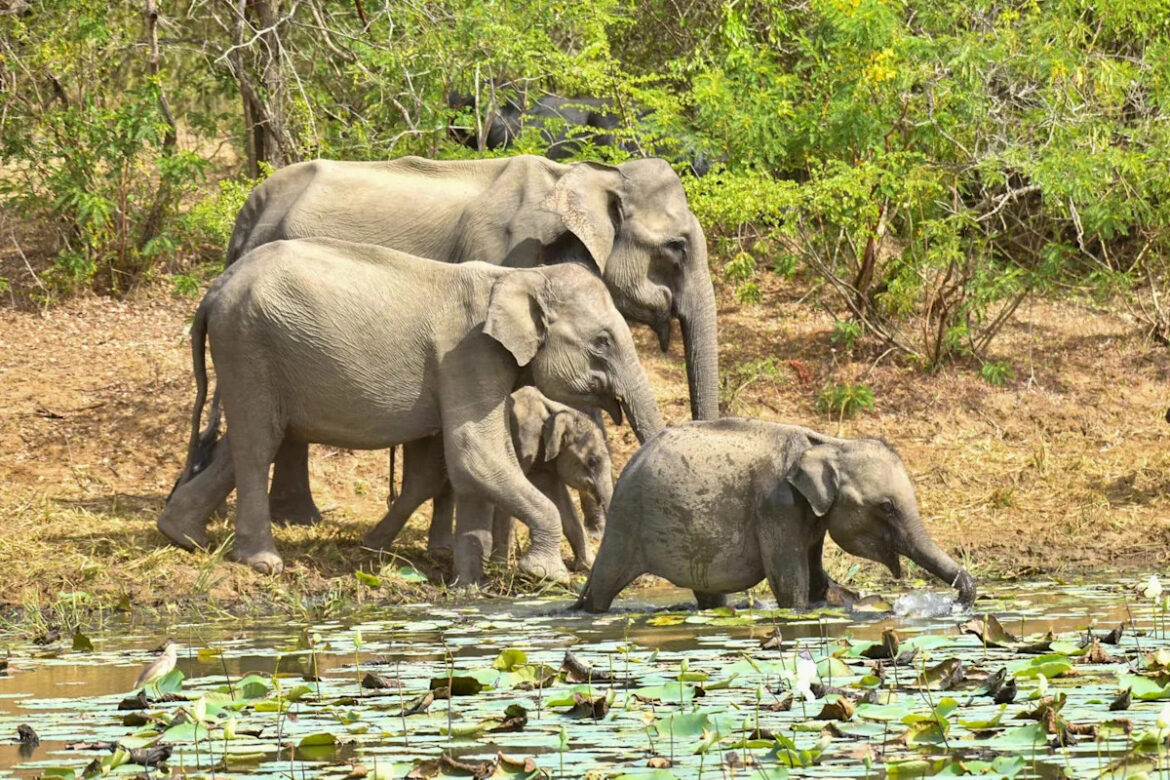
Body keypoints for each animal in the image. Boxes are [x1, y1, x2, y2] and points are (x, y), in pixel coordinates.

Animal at [365, 386, 613, 572]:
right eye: (592, 461)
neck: (555, 408)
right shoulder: (523, 441)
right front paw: (501, 567)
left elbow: (561, 501)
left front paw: (586, 566)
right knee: (426, 483)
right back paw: (375, 546)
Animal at [576, 419, 977, 612]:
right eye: (886, 507)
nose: (959, 599)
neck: (829, 443)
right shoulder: (777, 507)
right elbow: (792, 589)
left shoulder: (810, 516)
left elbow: (817, 583)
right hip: (627, 523)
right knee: (604, 584)